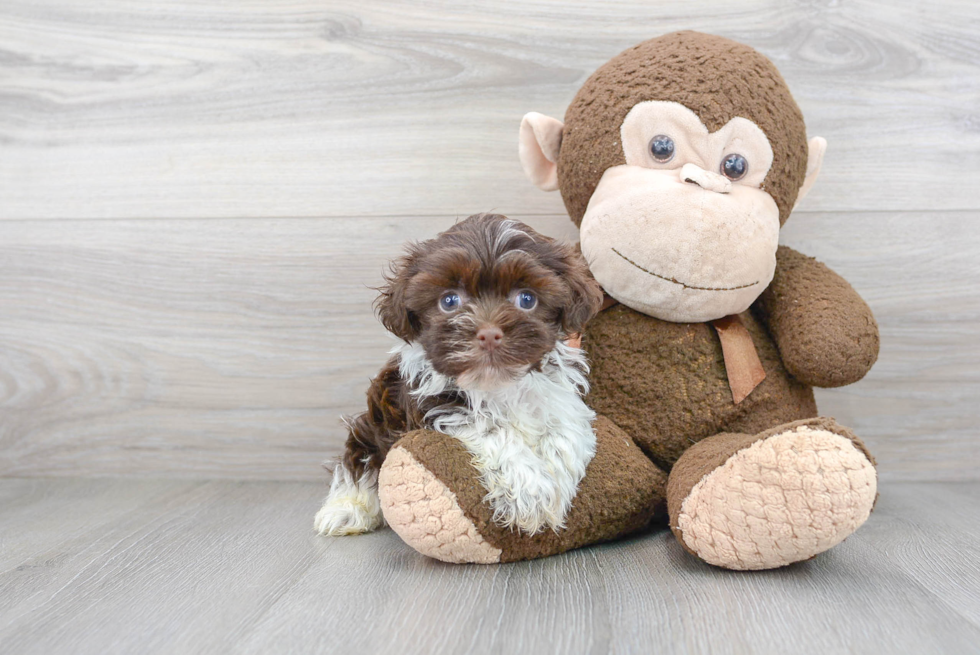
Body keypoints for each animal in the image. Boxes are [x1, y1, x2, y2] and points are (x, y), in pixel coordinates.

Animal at [314, 214, 604, 540]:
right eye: (450, 301)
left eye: (527, 299)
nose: (489, 334)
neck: (497, 383)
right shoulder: (434, 404)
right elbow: (492, 430)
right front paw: (531, 493)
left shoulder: (559, 397)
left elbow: (565, 431)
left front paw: (553, 480)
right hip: (373, 425)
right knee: (359, 462)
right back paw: (346, 510)